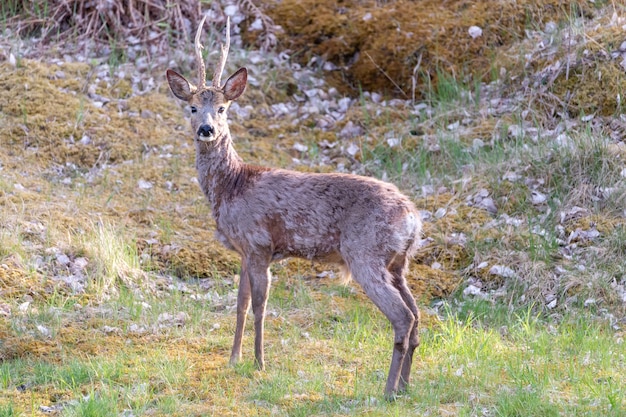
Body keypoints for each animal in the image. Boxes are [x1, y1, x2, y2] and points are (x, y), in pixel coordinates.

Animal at [163, 16, 422, 396]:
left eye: (223, 108)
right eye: (193, 107)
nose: (207, 129)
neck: (232, 186)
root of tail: (414, 218)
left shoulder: (258, 243)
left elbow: (260, 306)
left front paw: (259, 362)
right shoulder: (244, 251)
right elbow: (240, 304)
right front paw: (233, 359)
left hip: (366, 253)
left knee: (402, 316)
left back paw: (387, 390)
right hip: (398, 262)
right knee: (416, 315)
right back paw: (404, 386)